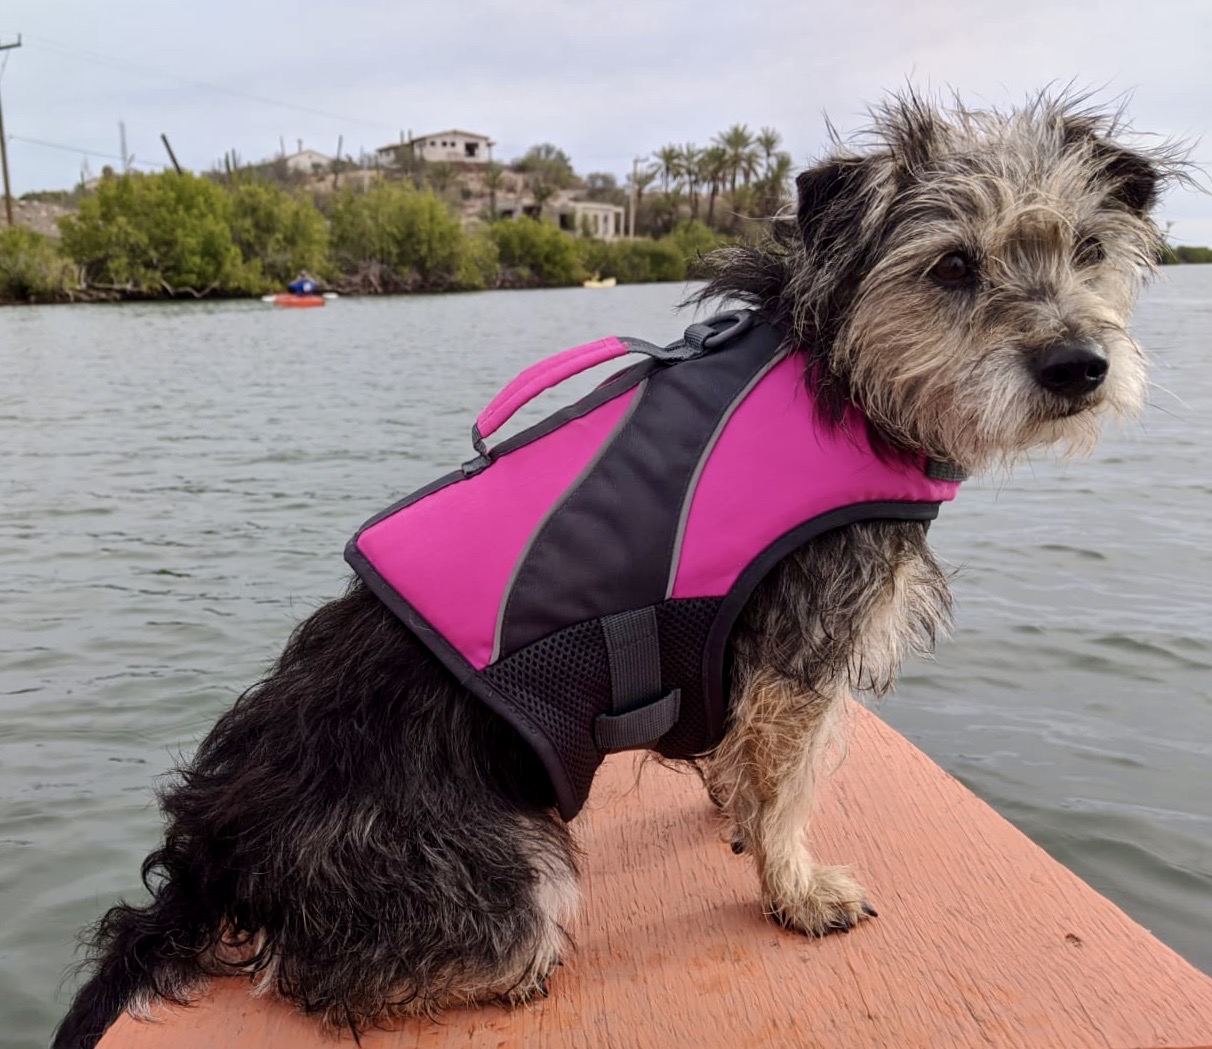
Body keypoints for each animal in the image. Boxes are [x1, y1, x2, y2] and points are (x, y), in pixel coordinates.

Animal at [52, 92, 1178, 1046]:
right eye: (950, 267)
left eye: (1087, 249)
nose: (1079, 365)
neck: (840, 372)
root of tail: (215, 854)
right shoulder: (806, 649)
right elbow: (790, 787)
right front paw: (796, 889)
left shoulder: (757, 665)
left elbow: (746, 767)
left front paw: (734, 817)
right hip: (506, 868)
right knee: (323, 972)